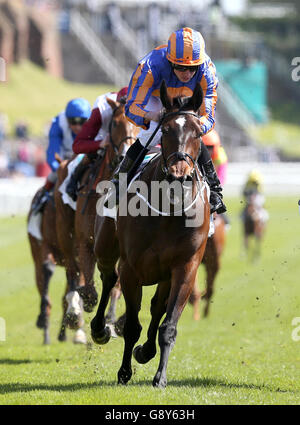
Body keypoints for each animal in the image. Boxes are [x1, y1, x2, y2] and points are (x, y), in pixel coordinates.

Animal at [54, 97, 137, 330]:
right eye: (115, 123)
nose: (124, 155)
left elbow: (118, 284)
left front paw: (113, 320)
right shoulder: (85, 241)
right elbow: (89, 288)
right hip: (65, 233)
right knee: (73, 271)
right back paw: (74, 311)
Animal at [91, 80, 211, 388]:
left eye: (198, 132)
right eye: (166, 130)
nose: (180, 174)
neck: (168, 209)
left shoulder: (185, 267)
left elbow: (168, 325)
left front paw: (160, 376)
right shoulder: (132, 268)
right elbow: (132, 325)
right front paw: (123, 372)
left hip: (164, 273)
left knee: (157, 307)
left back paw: (146, 351)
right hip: (106, 248)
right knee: (108, 277)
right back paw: (99, 329)